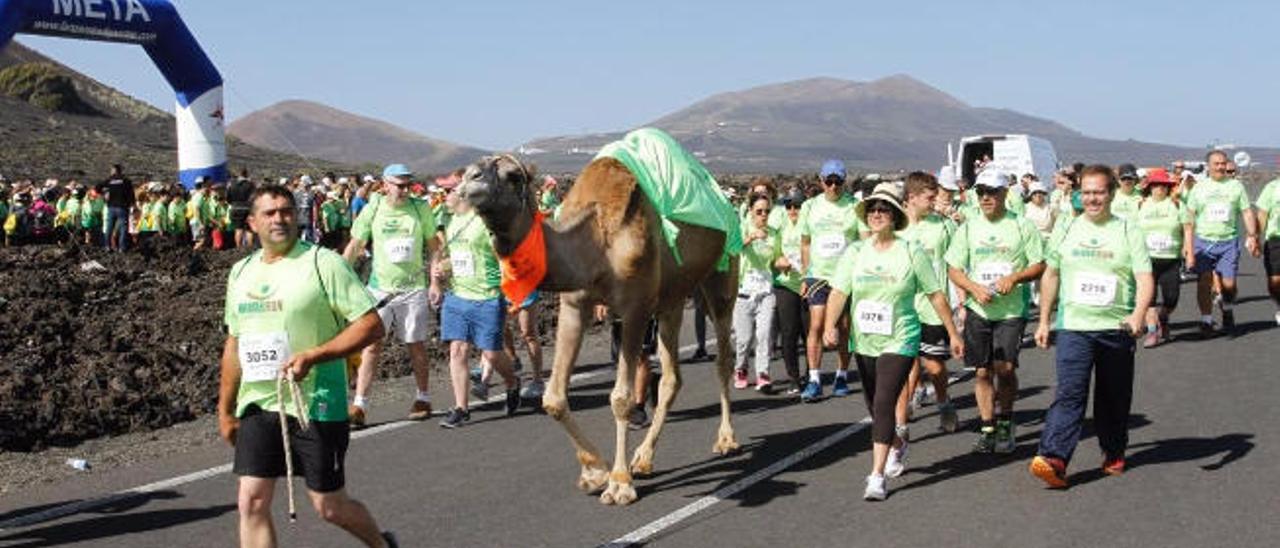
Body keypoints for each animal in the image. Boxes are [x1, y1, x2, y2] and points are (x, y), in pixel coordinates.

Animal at [460, 146, 742, 504]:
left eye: (512, 176)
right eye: (470, 169)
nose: (470, 181)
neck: (594, 243)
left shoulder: (635, 309)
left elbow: (621, 398)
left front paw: (619, 483)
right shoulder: (573, 305)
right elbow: (553, 399)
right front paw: (595, 472)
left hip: (722, 274)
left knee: (723, 357)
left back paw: (725, 439)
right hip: (672, 298)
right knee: (671, 377)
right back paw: (643, 458)